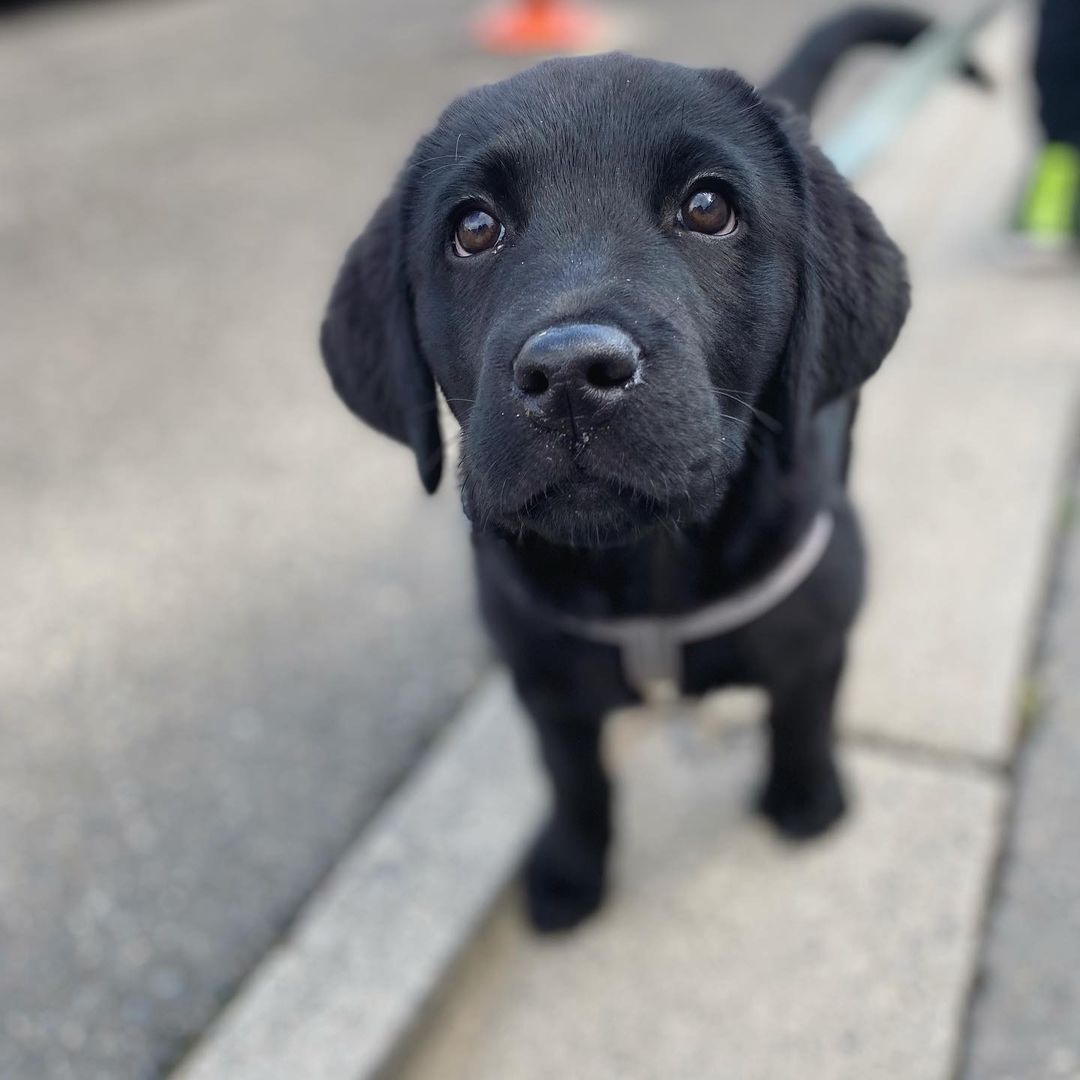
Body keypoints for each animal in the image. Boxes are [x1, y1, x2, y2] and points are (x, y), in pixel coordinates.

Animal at [321, 6, 920, 928]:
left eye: (708, 207)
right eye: (473, 229)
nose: (571, 374)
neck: (652, 569)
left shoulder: (816, 626)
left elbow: (804, 710)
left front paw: (806, 796)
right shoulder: (546, 684)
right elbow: (576, 782)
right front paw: (572, 869)